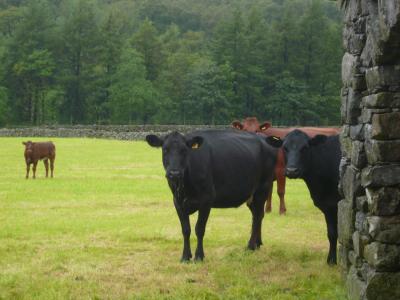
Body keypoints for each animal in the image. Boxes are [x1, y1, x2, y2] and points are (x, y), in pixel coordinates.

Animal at [145, 130, 276, 262]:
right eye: (165, 149)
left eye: (184, 150)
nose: (174, 173)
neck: (185, 186)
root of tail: (264, 137)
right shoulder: (178, 202)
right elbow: (186, 230)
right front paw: (185, 256)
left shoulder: (206, 200)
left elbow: (199, 229)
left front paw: (199, 256)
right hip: (252, 196)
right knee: (256, 216)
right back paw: (257, 243)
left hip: (262, 189)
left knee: (258, 216)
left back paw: (251, 246)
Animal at [268, 130, 342, 264]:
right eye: (285, 148)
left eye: (305, 148)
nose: (292, 170)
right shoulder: (328, 206)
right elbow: (331, 233)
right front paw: (331, 260)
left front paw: (333, 261)